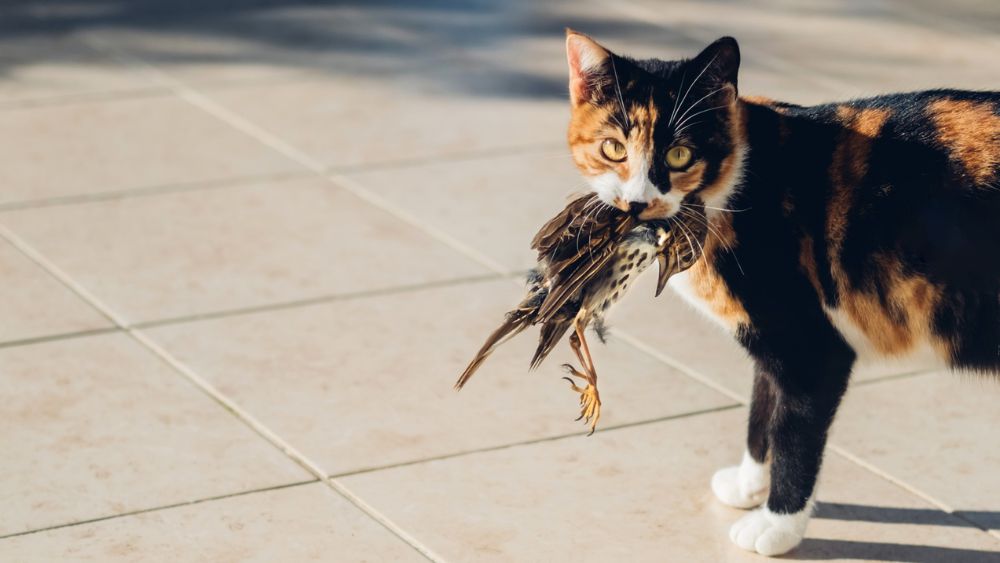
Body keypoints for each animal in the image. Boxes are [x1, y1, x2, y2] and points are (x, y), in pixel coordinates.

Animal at [564, 28, 1000, 556]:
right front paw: (748, 485)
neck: (735, 185)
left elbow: (794, 439)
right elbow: (761, 411)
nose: (638, 202)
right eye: (612, 148)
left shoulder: (811, 350)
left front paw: (776, 525)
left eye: (679, 154)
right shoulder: (767, 341)